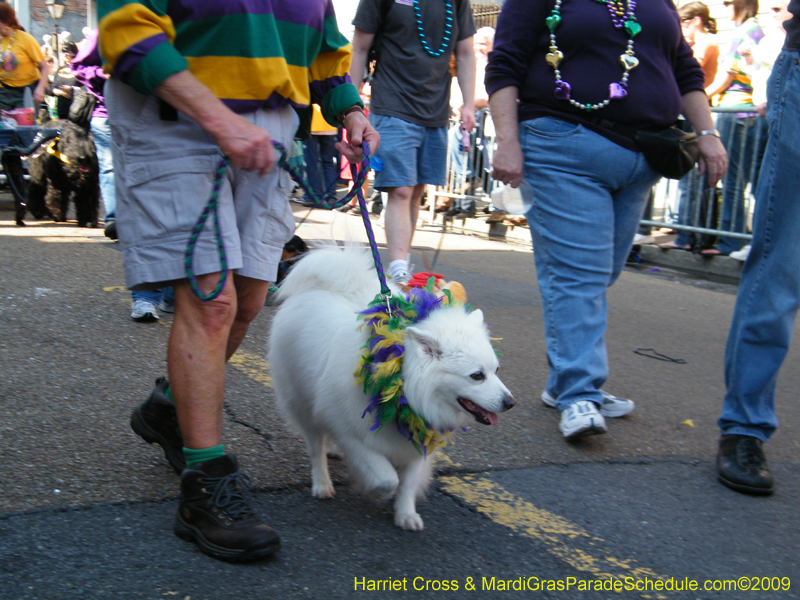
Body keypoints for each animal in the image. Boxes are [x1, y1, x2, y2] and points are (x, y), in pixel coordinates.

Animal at [268, 244, 512, 528]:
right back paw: (322, 484)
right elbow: (387, 477)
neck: (402, 387)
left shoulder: (418, 441)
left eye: (496, 371)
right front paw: (378, 493)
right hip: (301, 403)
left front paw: (405, 514)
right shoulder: (354, 435)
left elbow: (407, 483)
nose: (510, 402)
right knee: (315, 446)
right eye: (477, 376)